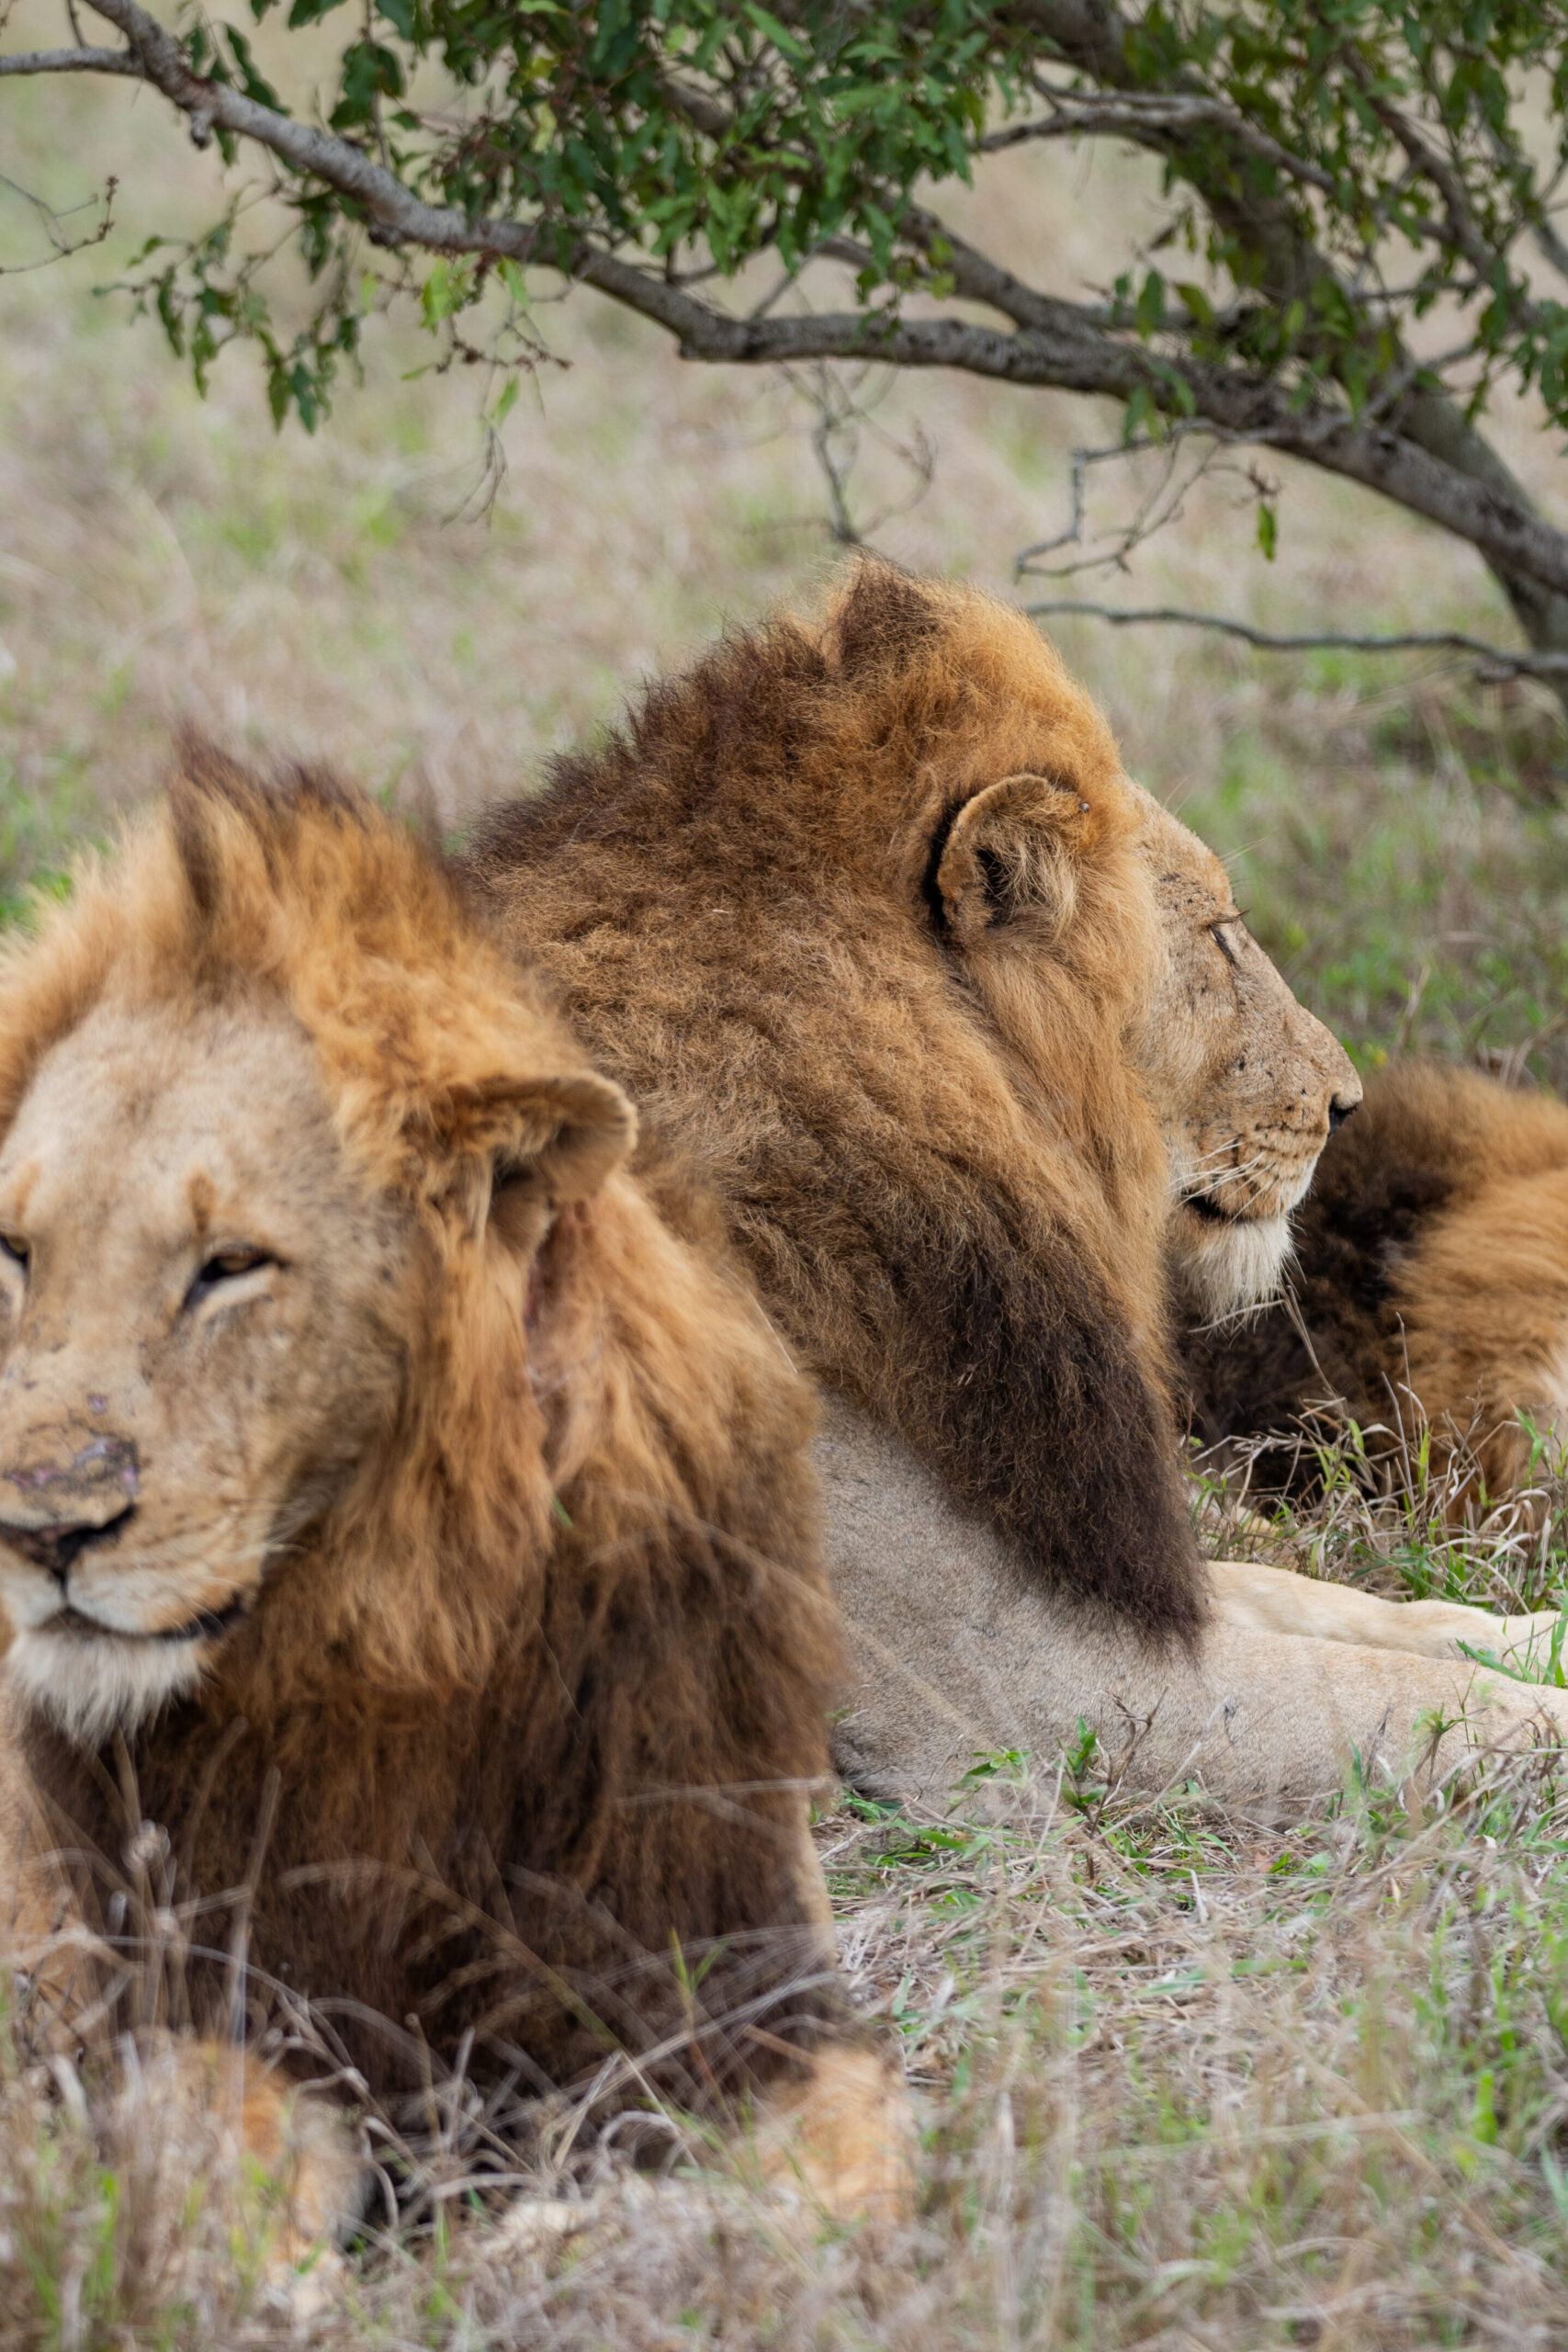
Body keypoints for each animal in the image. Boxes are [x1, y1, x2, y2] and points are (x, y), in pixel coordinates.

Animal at [0, 742, 907, 2248]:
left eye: (231, 1265)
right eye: (16, 1251)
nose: (43, 1529)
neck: (400, 1629)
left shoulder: (734, 1970)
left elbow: (852, 2192)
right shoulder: (197, 2004)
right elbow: (213, 2192)